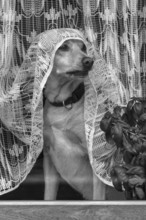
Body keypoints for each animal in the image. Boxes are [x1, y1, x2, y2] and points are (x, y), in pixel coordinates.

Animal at [42, 38, 105, 200]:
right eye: (64, 46)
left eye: (83, 47)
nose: (89, 61)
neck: (65, 103)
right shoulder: (49, 157)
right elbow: (48, 196)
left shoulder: (95, 159)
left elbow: (98, 197)